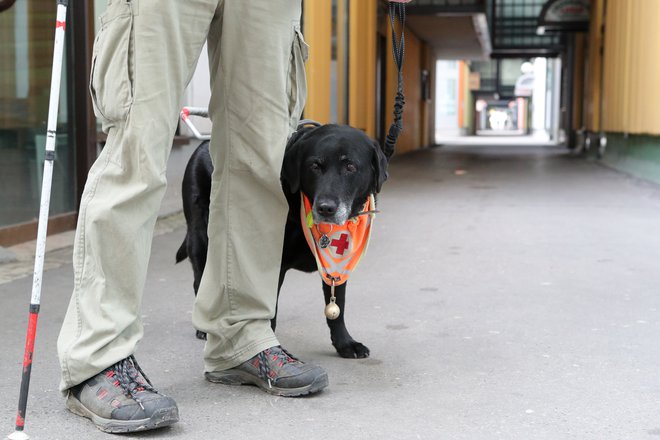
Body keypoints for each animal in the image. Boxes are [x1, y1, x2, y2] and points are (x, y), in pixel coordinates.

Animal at [177, 123, 392, 358]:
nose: (326, 208)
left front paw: (345, 343)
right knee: (200, 280)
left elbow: (337, 305)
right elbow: (270, 312)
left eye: (350, 166)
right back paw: (204, 328)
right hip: (201, 237)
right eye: (314, 166)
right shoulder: (271, 264)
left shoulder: (337, 265)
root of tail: (204, 143)